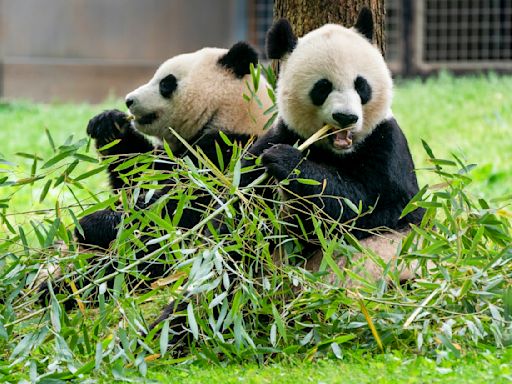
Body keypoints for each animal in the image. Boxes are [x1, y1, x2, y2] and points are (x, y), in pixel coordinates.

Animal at [38, 42, 274, 306]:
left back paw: (63, 289)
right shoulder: (171, 154)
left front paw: (92, 223)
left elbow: (178, 210)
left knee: (136, 264)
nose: (129, 100)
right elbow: (134, 176)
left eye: (166, 83)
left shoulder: (228, 155)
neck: (232, 114)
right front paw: (109, 124)